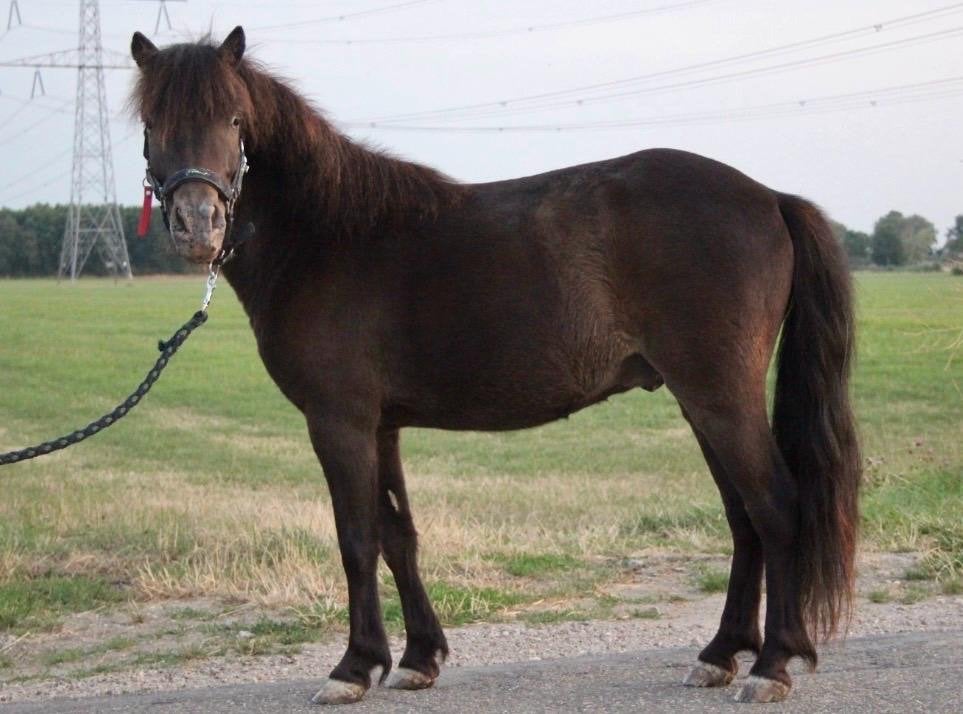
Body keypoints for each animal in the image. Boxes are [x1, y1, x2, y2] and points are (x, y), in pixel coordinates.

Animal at [128, 27, 860, 705]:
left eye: (233, 119)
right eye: (152, 123)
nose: (198, 225)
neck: (329, 235)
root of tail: (768, 197)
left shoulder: (339, 421)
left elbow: (356, 539)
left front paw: (353, 668)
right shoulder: (381, 426)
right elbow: (398, 535)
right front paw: (417, 659)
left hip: (719, 397)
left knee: (775, 507)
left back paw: (770, 665)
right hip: (700, 401)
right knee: (742, 517)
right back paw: (721, 654)